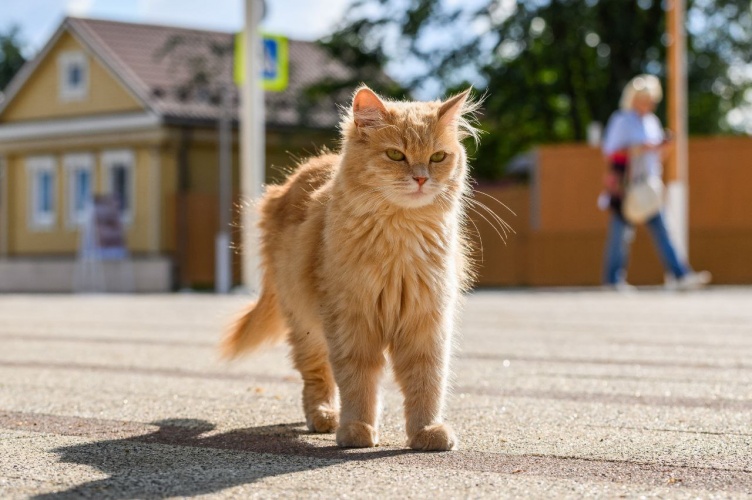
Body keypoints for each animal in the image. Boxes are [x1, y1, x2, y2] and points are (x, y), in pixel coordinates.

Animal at [222, 86, 476, 454]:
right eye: (395, 155)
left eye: (438, 157)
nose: (420, 178)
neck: (399, 240)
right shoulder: (352, 322)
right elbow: (358, 383)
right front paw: (356, 430)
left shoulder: (426, 323)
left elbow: (427, 382)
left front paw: (427, 432)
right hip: (306, 325)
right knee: (317, 376)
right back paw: (325, 417)